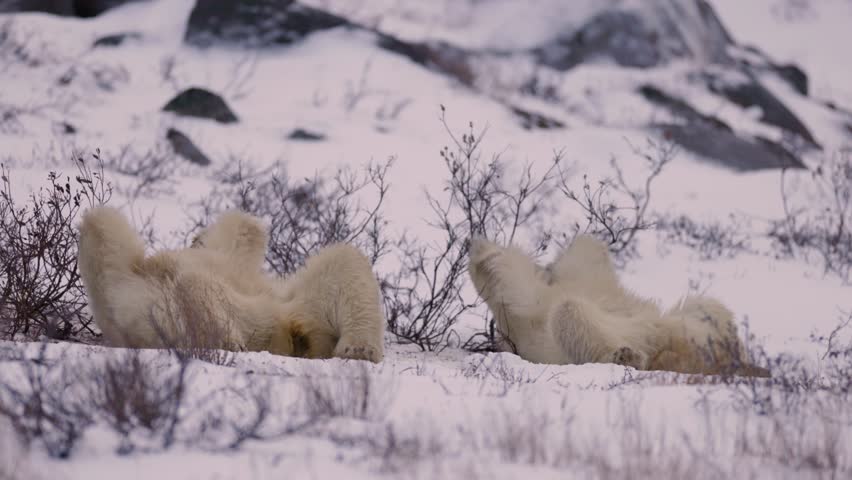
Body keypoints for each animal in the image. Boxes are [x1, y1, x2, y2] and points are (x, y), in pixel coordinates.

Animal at [467, 234, 769, 377]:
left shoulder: (584, 280)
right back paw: (626, 355)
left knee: (706, 306)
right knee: (569, 314)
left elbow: (587, 249)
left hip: (685, 323)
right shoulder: (527, 312)